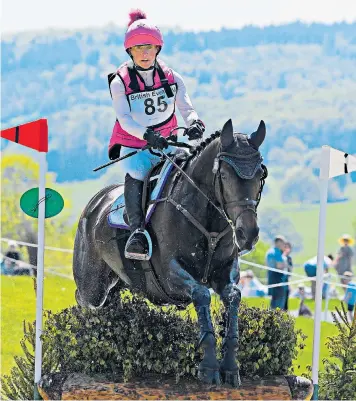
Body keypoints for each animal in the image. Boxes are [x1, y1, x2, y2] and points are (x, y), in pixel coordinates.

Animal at [73, 119, 268, 388]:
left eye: (260, 174)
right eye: (224, 175)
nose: (248, 234)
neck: (208, 218)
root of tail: (96, 202)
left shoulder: (225, 272)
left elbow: (233, 298)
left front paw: (230, 367)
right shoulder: (170, 275)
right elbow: (202, 295)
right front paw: (209, 367)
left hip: (116, 283)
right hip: (93, 285)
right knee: (85, 302)